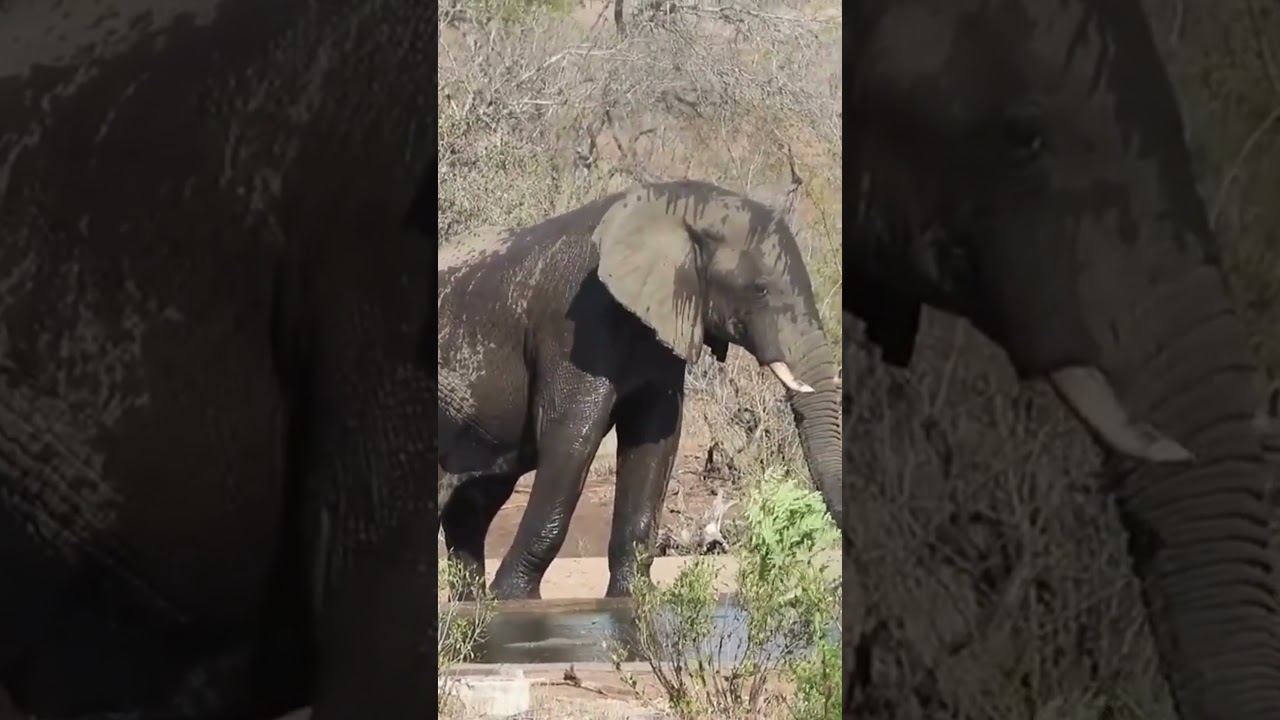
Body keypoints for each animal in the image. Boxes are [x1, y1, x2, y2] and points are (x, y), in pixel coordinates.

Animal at [437, 180, 841, 600]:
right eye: (760, 290)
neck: (679, 207)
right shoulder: (576, 320)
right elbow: (572, 436)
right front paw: (513, 600)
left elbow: (654, 440)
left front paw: (633, 599)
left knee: (473, 505)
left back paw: (471, 604)